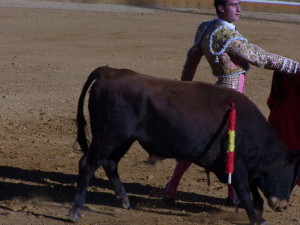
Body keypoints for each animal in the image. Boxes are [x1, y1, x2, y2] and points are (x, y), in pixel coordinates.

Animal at [69, 66, 300, 225]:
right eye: (289, 176)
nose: (284, 206)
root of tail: (109, 72)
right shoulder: (239, 167)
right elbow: (245, 192)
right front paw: (257, 218)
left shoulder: (246, 169)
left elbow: (254, 192)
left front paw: (257, 213)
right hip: (108, 136)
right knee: (87, 164)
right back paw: (75, 211)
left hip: (123, 139)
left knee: (109, 163)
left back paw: (125, 201)